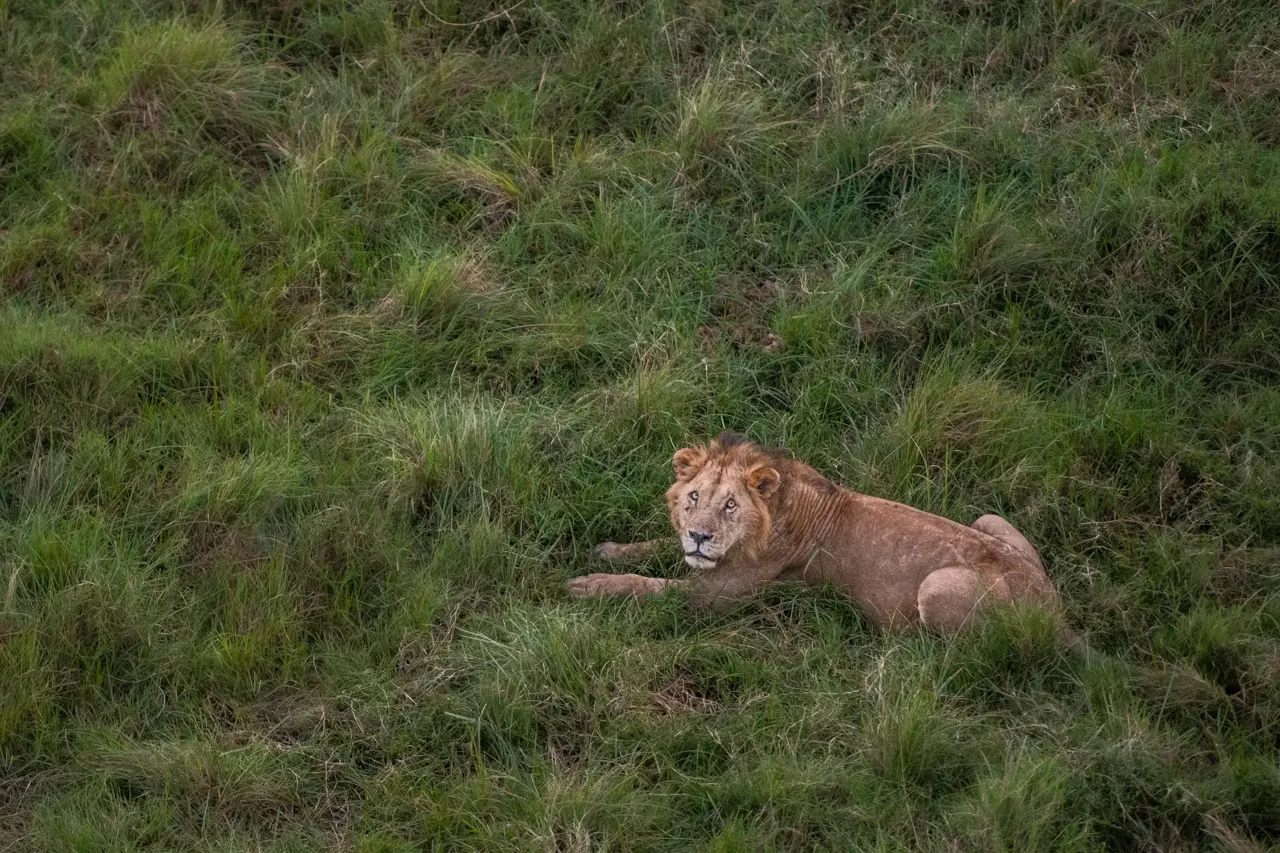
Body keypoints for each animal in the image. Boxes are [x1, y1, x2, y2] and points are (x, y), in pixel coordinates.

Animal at [567, 431, 1073, 638]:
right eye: (693, 498)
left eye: (730, 505)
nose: (699, 537)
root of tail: (1053, 609)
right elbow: (654, 548)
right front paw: (610, 550)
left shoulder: (713, 599)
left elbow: (649, 587)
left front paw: (591, 585)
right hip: (989, 520)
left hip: (937, 586)